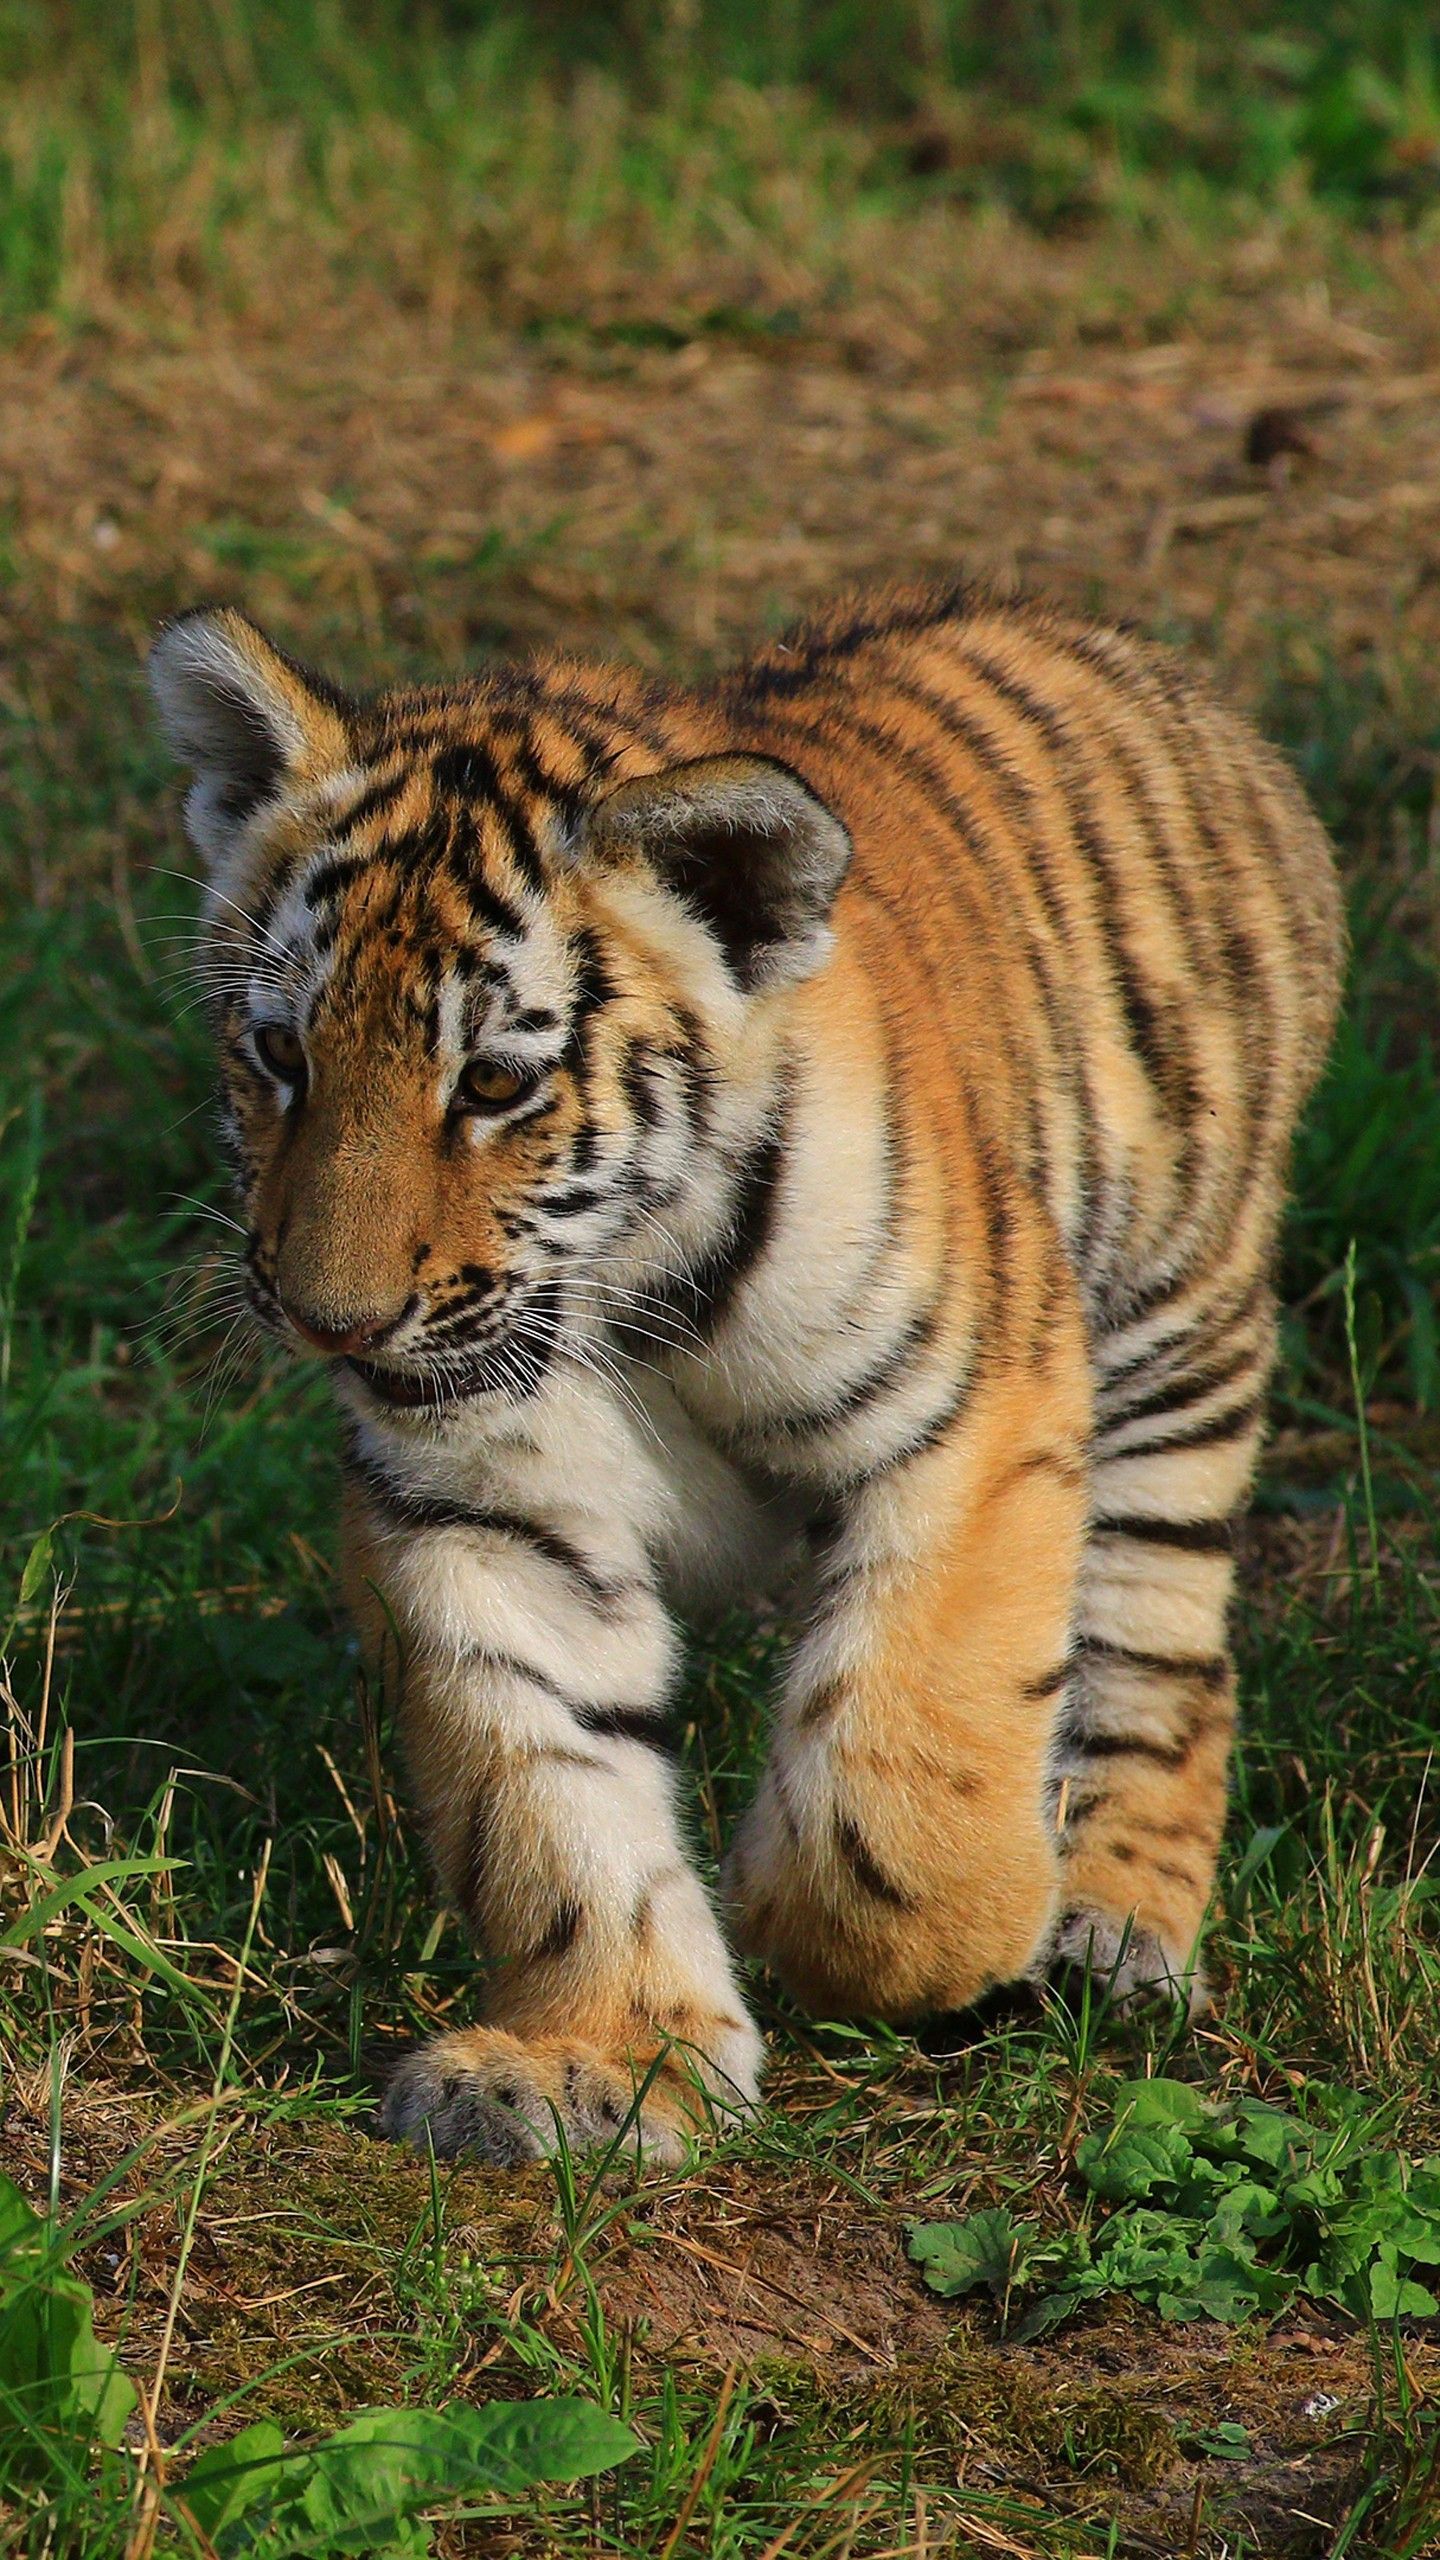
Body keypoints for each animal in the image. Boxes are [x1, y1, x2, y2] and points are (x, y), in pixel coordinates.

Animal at [148, 581, 1343, 2165]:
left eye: (494, 1085)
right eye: (280, 1053)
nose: (330, 1322)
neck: (627, 1287)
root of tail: (1117, 646)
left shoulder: (977, 1416)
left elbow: (909, 1761)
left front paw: (877, 1939)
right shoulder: (489, 1512)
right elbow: (546, 1794)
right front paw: (598, 2063)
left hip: (1176, 1324)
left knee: (1165, 1652)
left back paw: (1107, 1927)